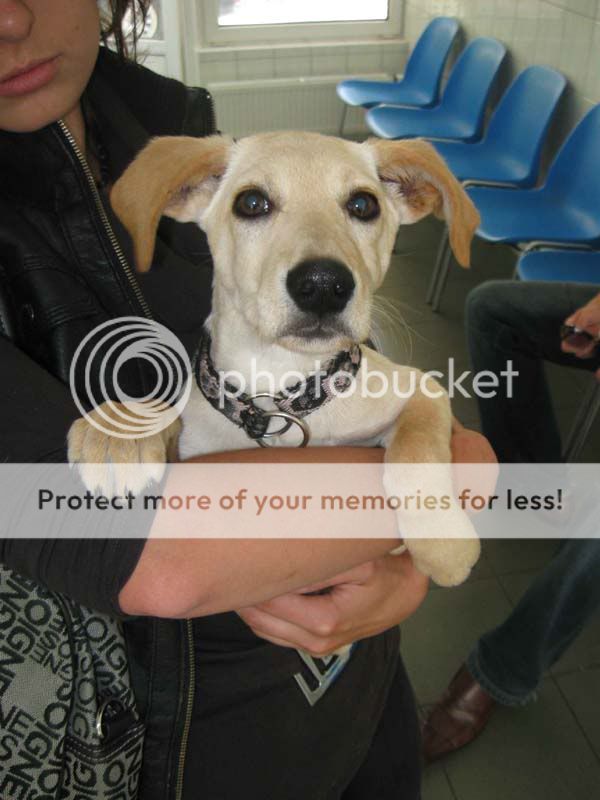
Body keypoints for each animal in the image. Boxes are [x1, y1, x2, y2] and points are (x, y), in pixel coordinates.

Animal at [68, 131, 481, 587]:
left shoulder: (422, 389)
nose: (323, 285)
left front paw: (443, 542)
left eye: (363, 205)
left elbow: (416, 449)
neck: (280, 387)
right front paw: (116, 432)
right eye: (251, 203)